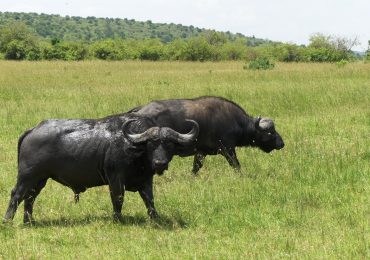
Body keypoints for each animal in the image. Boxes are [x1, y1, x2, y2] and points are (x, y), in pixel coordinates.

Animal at [2, 114, 199, 223]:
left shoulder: (145, 180)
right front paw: (118, 219)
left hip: (40, 179)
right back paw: (7, 221)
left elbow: (149, 200)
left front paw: (155, 218)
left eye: (169, 145)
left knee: (30, 198)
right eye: (151, 144)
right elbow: (118, 199)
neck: (133, 147)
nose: (160, 163)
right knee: (17, 195)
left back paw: (29, 221)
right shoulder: (116, 179)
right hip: (27, 176)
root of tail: (32, 130)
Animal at [131, 96, 286, 174]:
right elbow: (236, 165)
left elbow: (195, 168)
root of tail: (140, 110)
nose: (282, 143)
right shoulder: (228, 149)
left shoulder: (201, 152)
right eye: (271, 132)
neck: (236, 121)